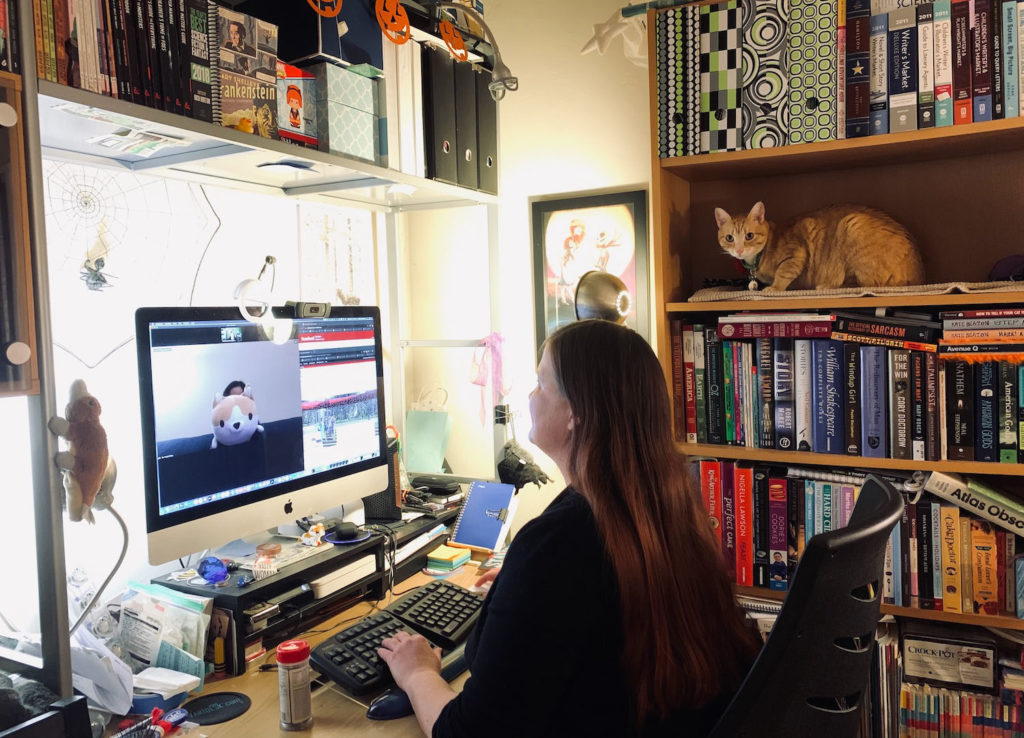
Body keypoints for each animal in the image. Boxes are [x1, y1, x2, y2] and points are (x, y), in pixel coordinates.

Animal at [712, 204, 929, 292]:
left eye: (749, 236)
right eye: (730, 238)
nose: (739, 250)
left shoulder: (796, 253)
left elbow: (783, 273)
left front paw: (774, 288)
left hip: (852, 224)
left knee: (865, 285)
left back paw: (828, 286)